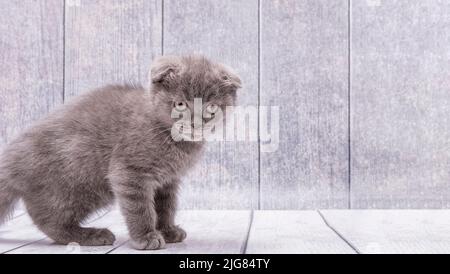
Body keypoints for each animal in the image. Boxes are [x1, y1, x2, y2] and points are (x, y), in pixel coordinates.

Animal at [0, 55, 241, 250]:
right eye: (180, 104)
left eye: (211, 107)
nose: (195, 123)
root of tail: (11, 158)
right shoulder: (129, 171)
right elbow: (140, 208)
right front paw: (146, 237)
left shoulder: (167, 181)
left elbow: (166, 206)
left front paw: (167, 230)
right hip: (80, 183)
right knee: (49, 219)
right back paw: (91, 235)